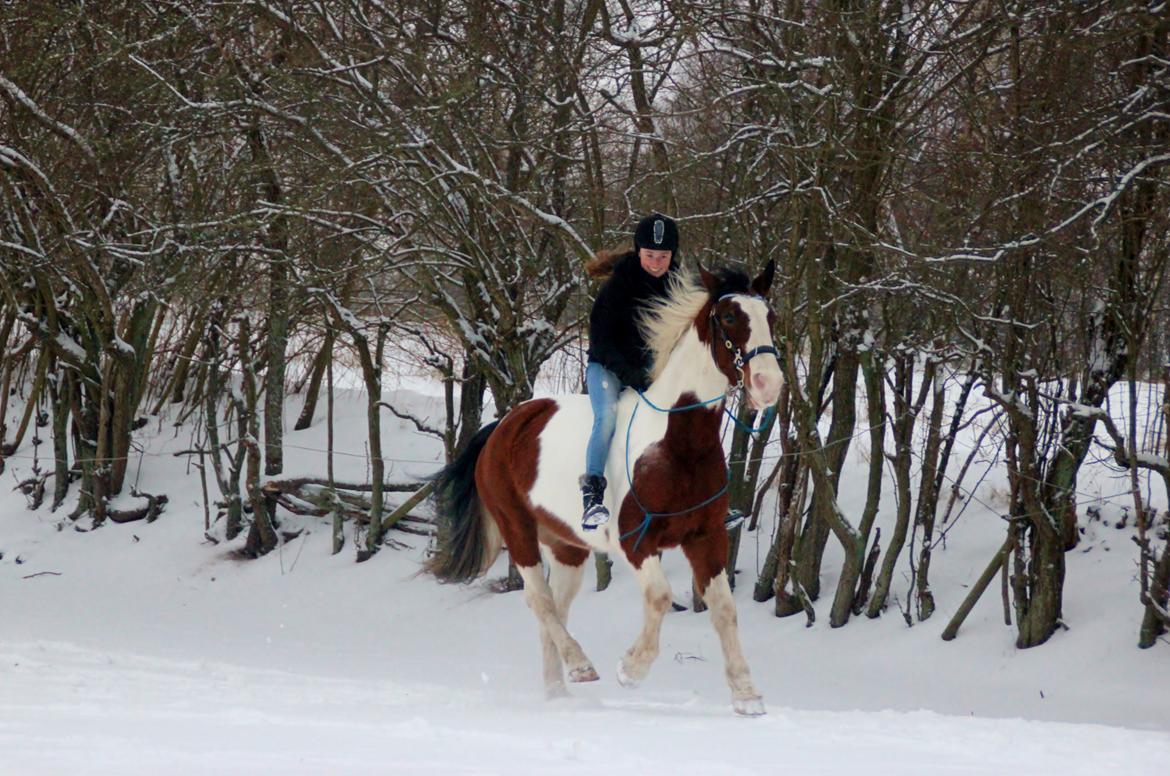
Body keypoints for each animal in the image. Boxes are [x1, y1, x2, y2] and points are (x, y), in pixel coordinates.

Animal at [425, 261, 781, 716]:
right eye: (730, 317)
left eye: (769, 316)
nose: (769, 383)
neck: (678, 445)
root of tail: (502, 426)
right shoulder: (636, 542)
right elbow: (661, 597)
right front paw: (631, 669)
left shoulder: (707, 537)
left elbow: (724, 608)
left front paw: (746, 695)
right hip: (517, 528)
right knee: (539, 600)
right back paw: (580, 665)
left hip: (567, 547)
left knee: (556, 608)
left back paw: (559, 690)